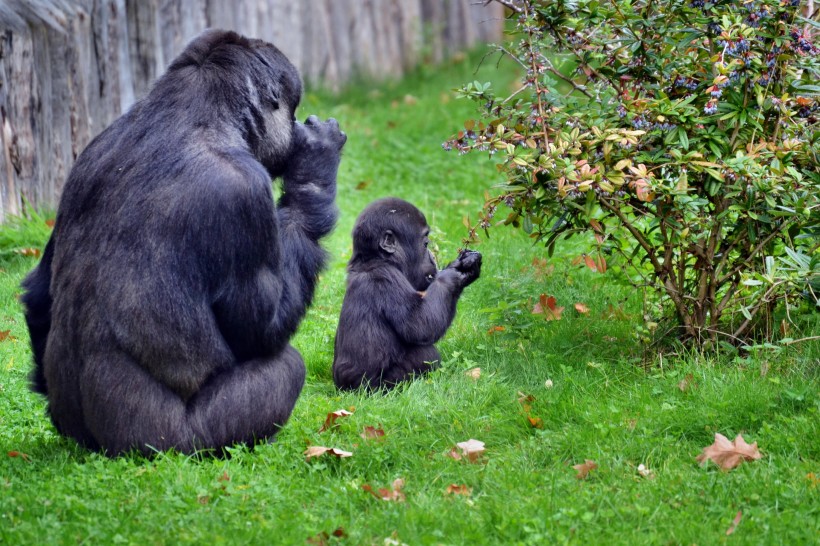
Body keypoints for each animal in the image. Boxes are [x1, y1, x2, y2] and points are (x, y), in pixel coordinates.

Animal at [20, 29, 346, 454]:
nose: (293, 126)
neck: (195, 112)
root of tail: (103, 447)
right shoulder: (243, 191)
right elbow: (261, 331)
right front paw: (313, 172)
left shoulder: (84, 160)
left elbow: (38, 294)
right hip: (172, 445)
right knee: (286, 365)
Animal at [332, 198, 478, 388]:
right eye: (425, 244)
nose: (432, 257)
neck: (376, 259)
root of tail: (344, 388)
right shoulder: (388, 279)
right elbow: (420, 324)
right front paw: (455, 275)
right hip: (379, 387)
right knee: (424, 353)